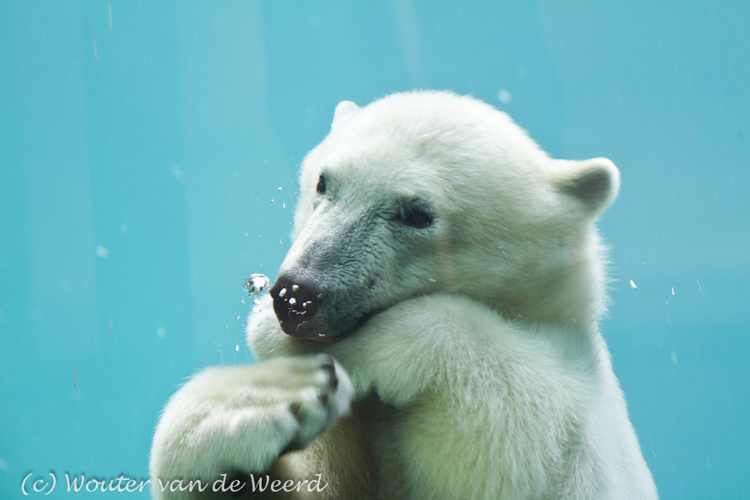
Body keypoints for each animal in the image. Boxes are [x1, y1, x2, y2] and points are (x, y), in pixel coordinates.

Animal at [151, 92, 656, 498]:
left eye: (416, 214)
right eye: (322, 182)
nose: (296, 295)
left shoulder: (579, 418)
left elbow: (524, 433)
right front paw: (261, 397)